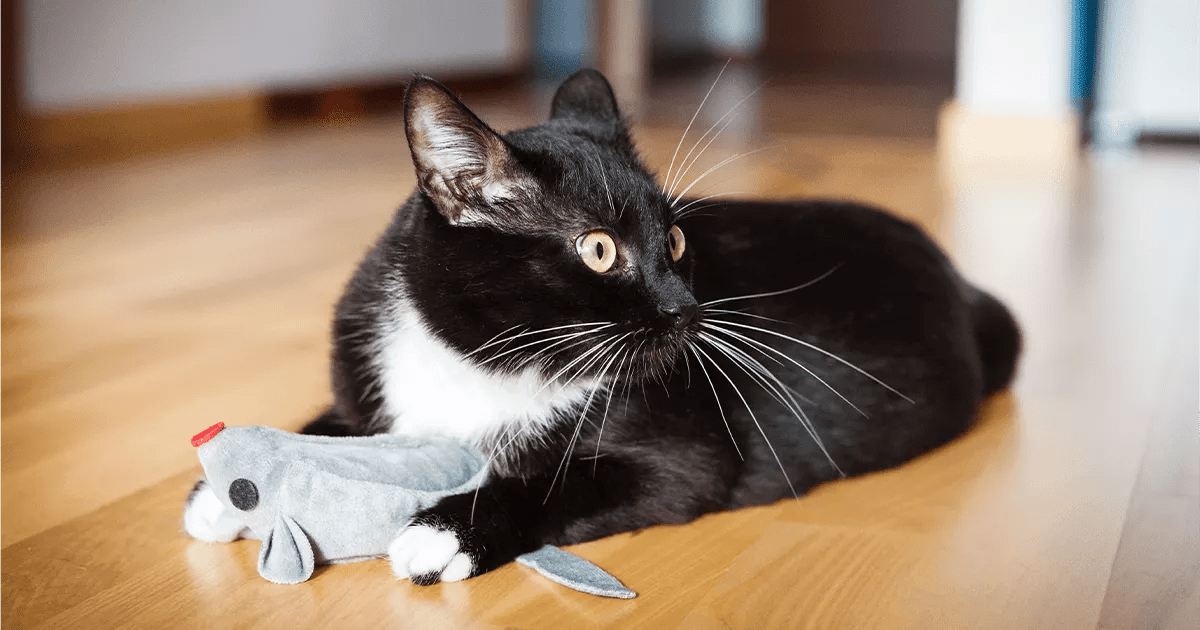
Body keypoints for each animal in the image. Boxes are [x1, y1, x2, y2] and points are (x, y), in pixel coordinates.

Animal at [182, 68, 1017, 585]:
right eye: (598, 249)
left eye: (676, 240)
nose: (686, 309)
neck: (483, 360)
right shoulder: (372, 375)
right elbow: (330, 424)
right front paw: (225, 491)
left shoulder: (683, 455)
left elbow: (564, 482)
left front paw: (449, 531)